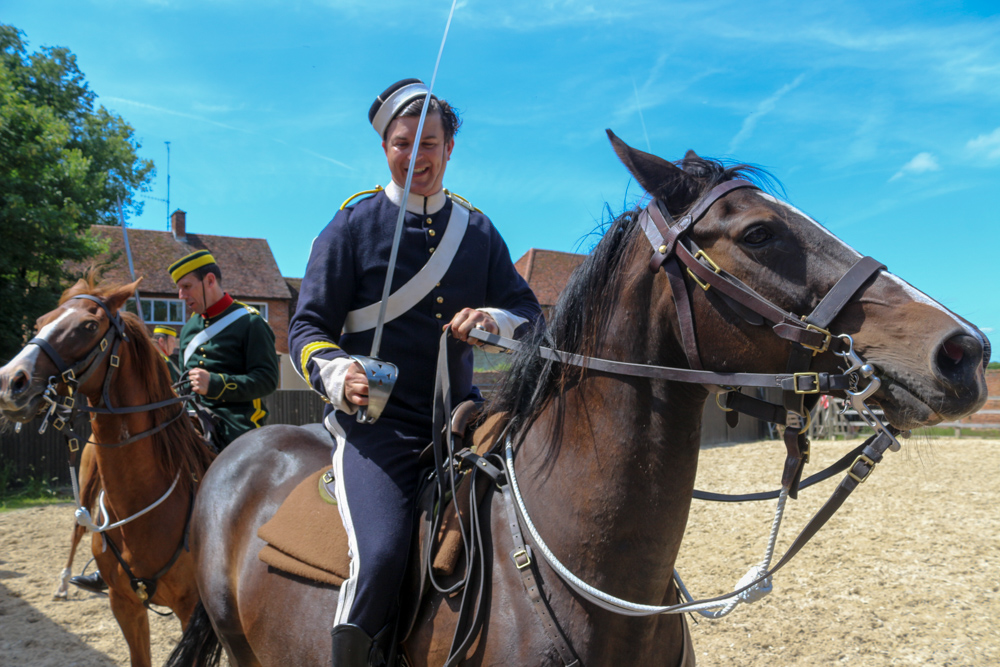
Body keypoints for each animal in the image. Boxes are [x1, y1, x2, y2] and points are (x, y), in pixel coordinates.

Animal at [0, 276, 215, 667]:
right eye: (39, 322)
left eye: (88, 326)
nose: (10, 382)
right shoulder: (125, 605)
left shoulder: (192, 611)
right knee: (75, 530)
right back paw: (64, 583)